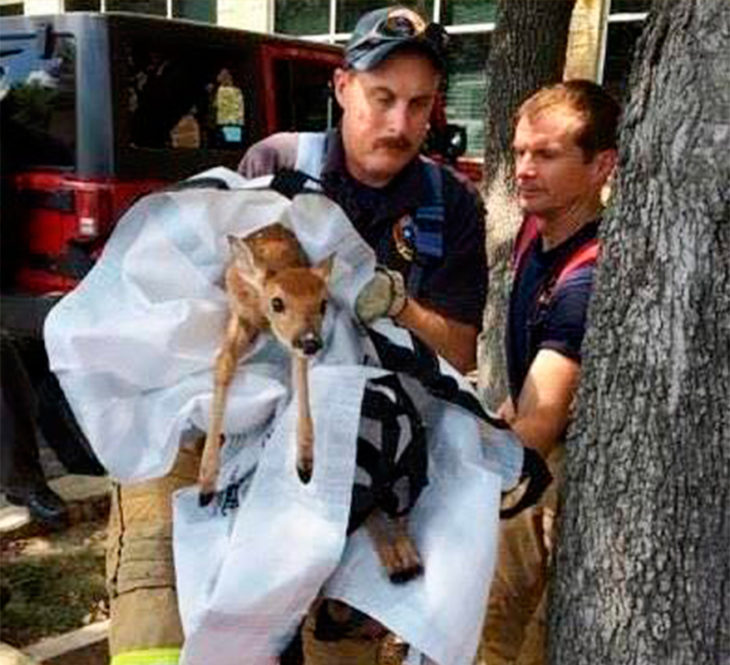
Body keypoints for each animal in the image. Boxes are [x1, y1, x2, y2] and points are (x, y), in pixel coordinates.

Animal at [200, 223, 334, 504]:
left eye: (323, 304)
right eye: (277, 302)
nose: (311, 342)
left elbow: (300, 375)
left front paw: (305, 464)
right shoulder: (240, 313)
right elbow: (224, 363)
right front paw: (206, 483)